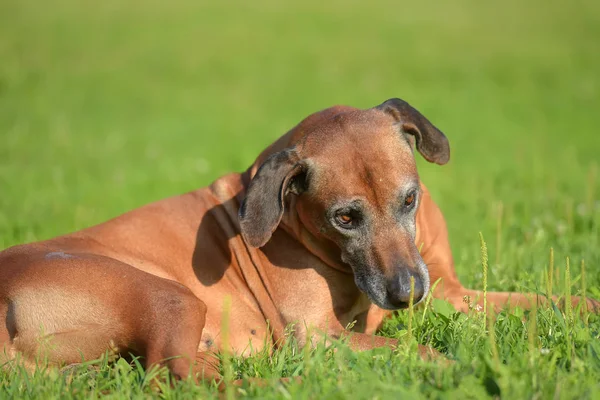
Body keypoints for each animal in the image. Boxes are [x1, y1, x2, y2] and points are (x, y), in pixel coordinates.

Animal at [0, 98, 596, 380]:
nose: (406, 294)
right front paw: (459, 365)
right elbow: (420, 348)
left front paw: (581, 309)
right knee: (174, 376)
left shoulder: (450, 289)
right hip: (166, 295)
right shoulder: (318, 337)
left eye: (410, 200)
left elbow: (542, 301)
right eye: (345, 218)